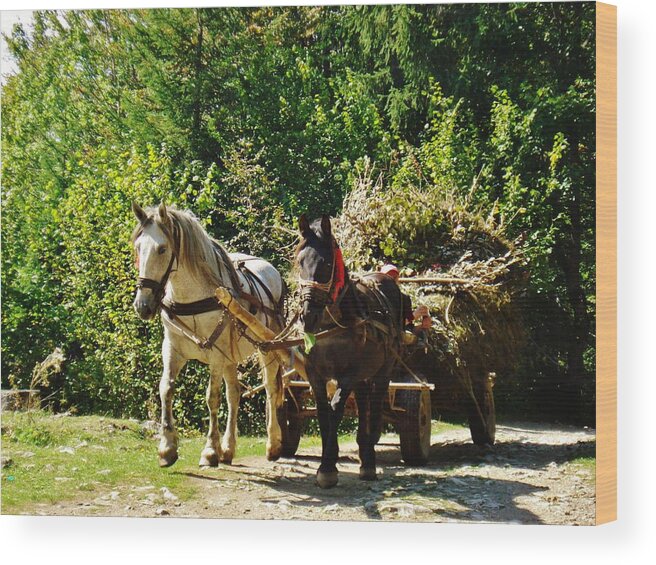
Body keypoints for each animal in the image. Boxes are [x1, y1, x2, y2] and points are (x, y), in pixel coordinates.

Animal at [131, 203, 284, 468]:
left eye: (162, 249)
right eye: (138, 248)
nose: (143, 305)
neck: (192, 298)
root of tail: (270, 268)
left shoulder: (215, 353)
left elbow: (212, 397)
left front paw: (210, 450)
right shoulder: (172, 349)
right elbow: (166, 389)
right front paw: (167, 448)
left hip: (268, 347)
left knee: (270, 389)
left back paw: (273, 444)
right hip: (231, 356)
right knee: (234, 395)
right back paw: (228, 448)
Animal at [296, 214, 400, 486]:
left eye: (325, 264)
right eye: (300, 262)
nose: (307, 317)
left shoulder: (350, 373)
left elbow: (335, 409)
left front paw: (328, 467)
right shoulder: (314, 373)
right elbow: (323, 412)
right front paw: (327, 462)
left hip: (383, 370)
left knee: (374, 405)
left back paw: (370, 460)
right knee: (364, 404)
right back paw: (364, 453)